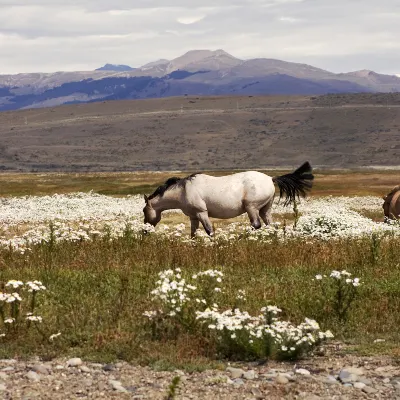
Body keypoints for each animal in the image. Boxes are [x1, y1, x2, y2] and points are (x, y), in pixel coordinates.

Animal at [142, 162, 314, 238]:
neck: (184, 190)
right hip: (265, 209)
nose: (145, 231)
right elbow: (193, 233)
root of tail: (271, 179)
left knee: (256, 225)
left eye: (144, 211)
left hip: (251, 208)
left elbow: (209, 231)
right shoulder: (193, 217)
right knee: (271, 225)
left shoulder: (202, 213)